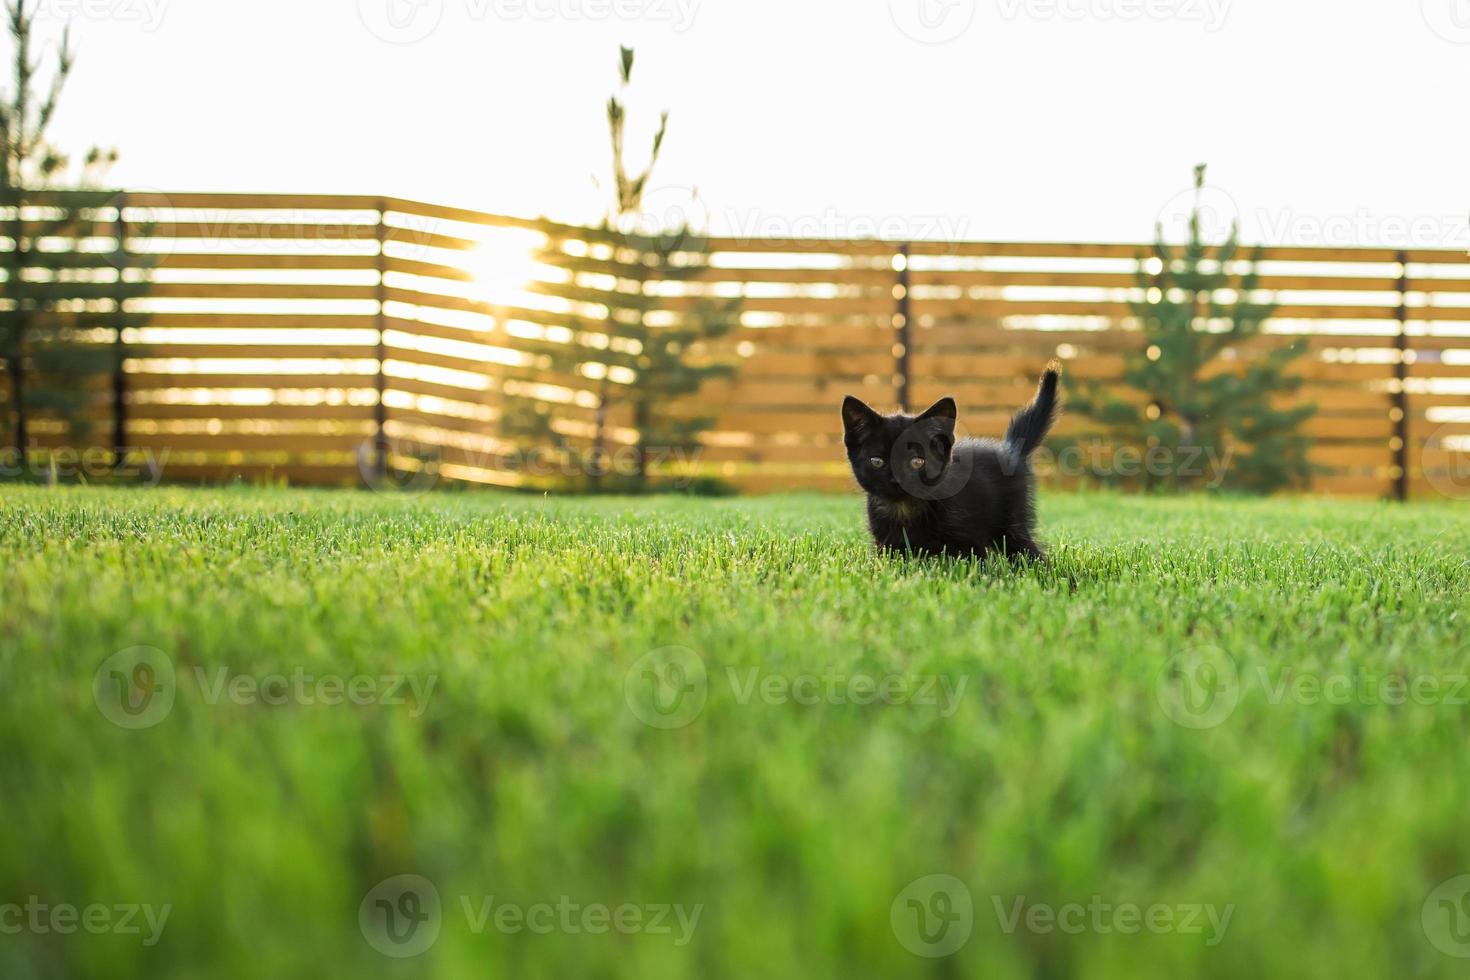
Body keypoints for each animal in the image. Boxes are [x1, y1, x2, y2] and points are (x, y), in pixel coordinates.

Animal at [846, 365, 1064, 567]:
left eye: (917, 461)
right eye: (877, 461)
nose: (896, 481)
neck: (905, 509)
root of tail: (1010, 450)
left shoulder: (971, 542)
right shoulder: (886, 545)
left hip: (1011, 523)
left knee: (1029, 553)